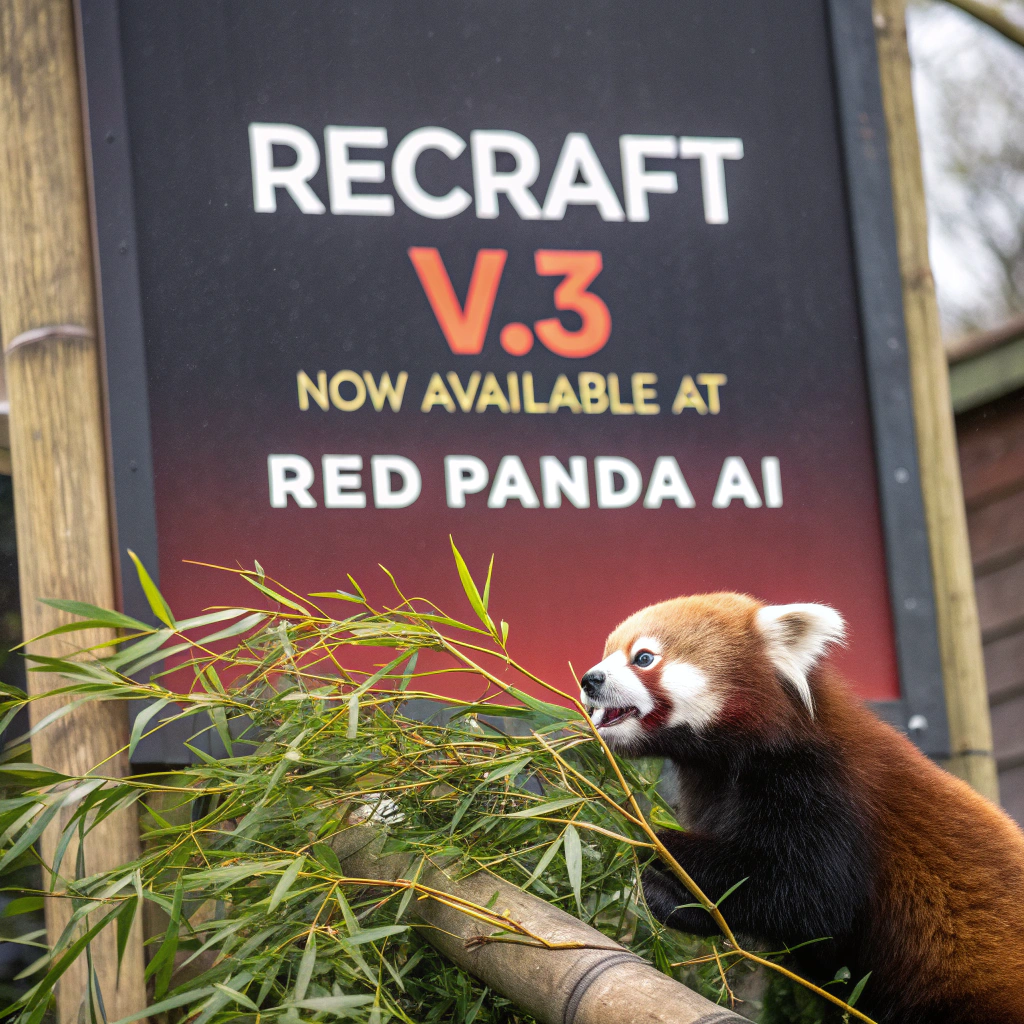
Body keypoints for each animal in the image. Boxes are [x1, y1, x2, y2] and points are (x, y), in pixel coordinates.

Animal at [580, 592, 1024, 1024]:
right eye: (606, 652)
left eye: (643, 658)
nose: (589, 679)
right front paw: (674, 896)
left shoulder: (821, 785)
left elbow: (809, 896)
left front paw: (653, 845)